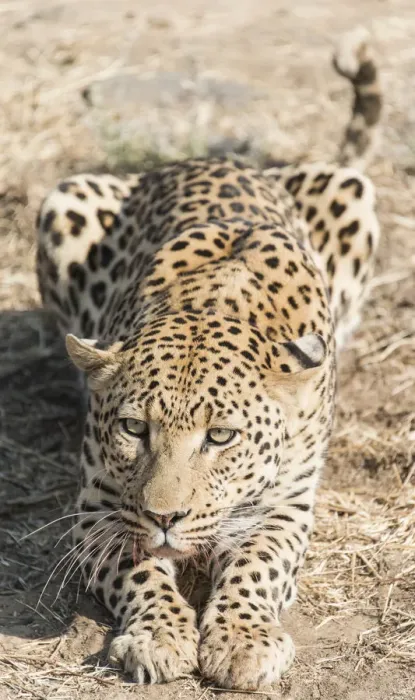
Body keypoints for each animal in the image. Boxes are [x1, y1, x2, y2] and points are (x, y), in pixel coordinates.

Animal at [35, 28, 382, 690]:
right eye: (133, 428)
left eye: (220, 436)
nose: (167, 516)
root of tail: (211, 160)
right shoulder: (99, 504)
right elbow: (139, 568)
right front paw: (158, 636)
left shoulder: (287, 507)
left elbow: (258, 564)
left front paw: (244, 640)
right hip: (66, 198)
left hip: (351, 187)